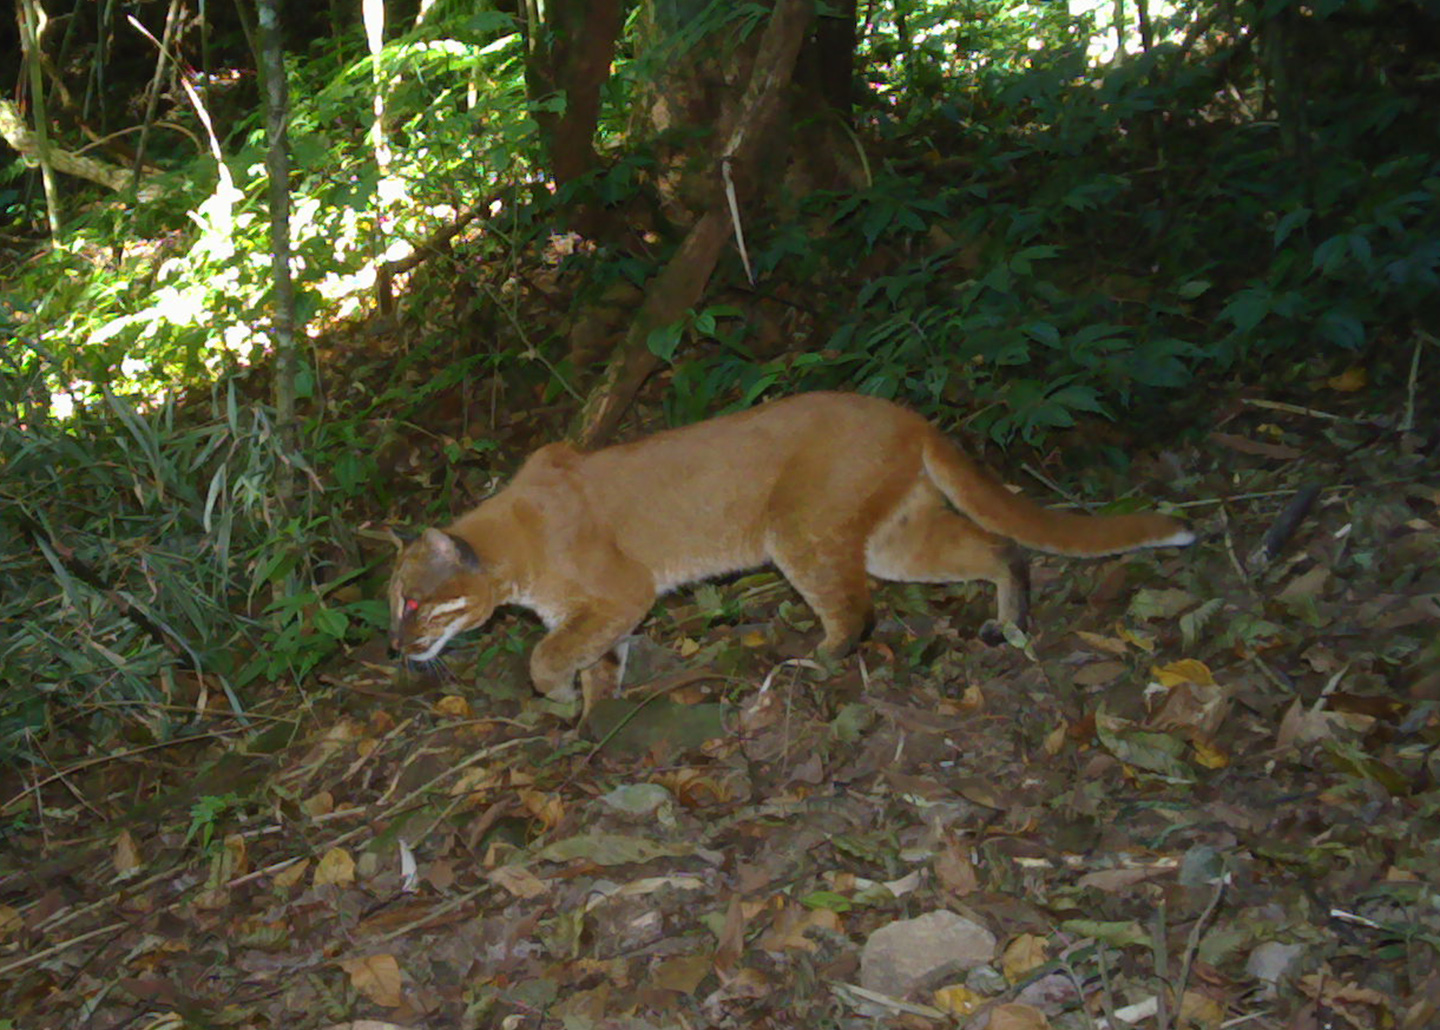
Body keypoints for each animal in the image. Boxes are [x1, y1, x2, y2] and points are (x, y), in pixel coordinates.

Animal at [385, 391, 1192, 705]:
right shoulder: (600, 611)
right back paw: (1011, 621)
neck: (514, 538)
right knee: (999, 547)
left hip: (800, 531)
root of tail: (906, 414)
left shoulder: (622, 591)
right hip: (895, 537)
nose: (395, 647)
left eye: (413, 604)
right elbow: (594, 659)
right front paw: (594, 713)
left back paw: (817, 661)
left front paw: (557, 696)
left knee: (858, 610)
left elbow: (549, 653)